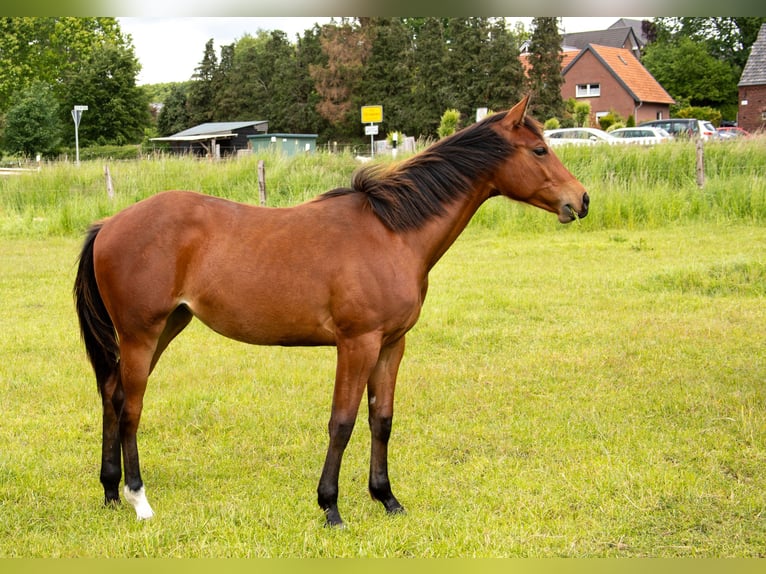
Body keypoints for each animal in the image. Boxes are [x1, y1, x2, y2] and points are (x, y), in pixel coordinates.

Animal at [74, 95, 589, 527]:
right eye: (539, 150)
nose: (580, 200)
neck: (392, 233)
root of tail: (109, 224)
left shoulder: (392, 345)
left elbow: (382, 419)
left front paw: (387, 498)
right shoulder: (356, 344)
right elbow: (341, 422)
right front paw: (331, 507)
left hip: (164, 329)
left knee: (113, 395)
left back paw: (110, 492)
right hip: (142, 334)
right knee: (131, 407)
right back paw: (139, 499)